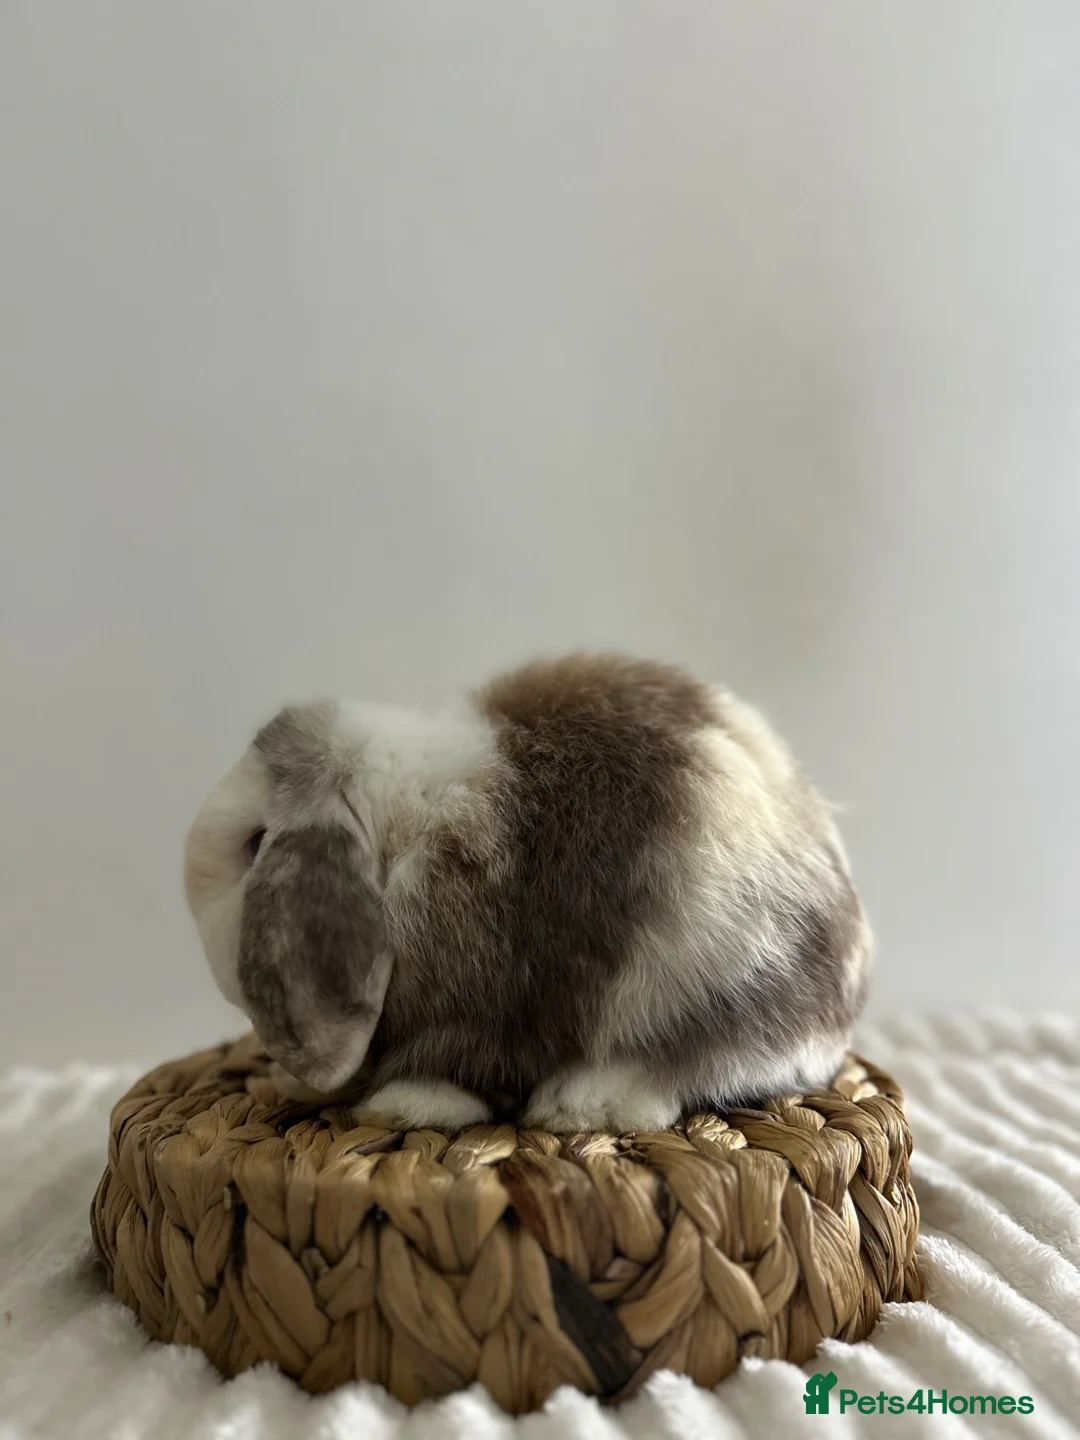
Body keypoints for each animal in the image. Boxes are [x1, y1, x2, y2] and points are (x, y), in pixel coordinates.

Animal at [184, 653, 871, 1133]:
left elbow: (457, 1063)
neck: (403, 827)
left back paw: (583, 1108)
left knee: (695, 1066)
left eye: (255, 843)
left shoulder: (477, 997)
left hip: (713, 980)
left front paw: (405, 1107)